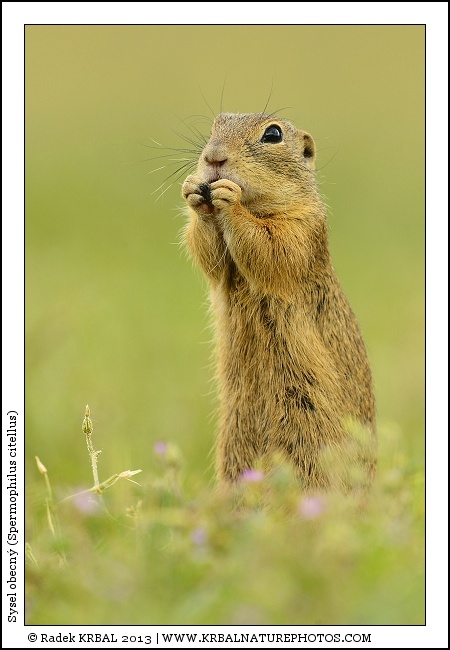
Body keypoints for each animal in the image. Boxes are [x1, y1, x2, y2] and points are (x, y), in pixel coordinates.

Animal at [181, 112, 376, 490]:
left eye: (272, 134)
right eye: (215, 125)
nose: (213, 157)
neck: (259, 205)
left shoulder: (302, 226)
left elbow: (272, 246)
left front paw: (229, 200)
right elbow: (210, 255)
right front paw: (193, 190)